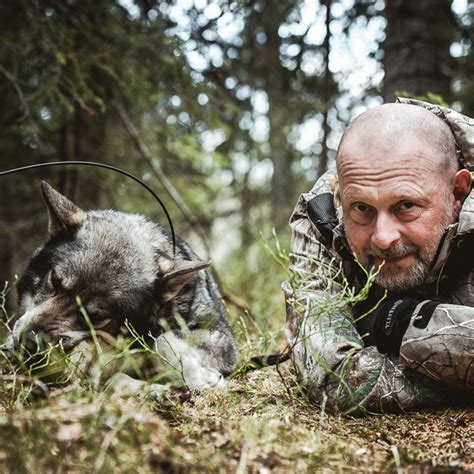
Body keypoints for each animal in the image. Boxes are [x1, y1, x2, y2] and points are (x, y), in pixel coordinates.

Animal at [5, 181, 239, 392]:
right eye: (54, 280)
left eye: (95, 317)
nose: (29, 342)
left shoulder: (222, 338)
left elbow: (164, 340)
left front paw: (195, 377)